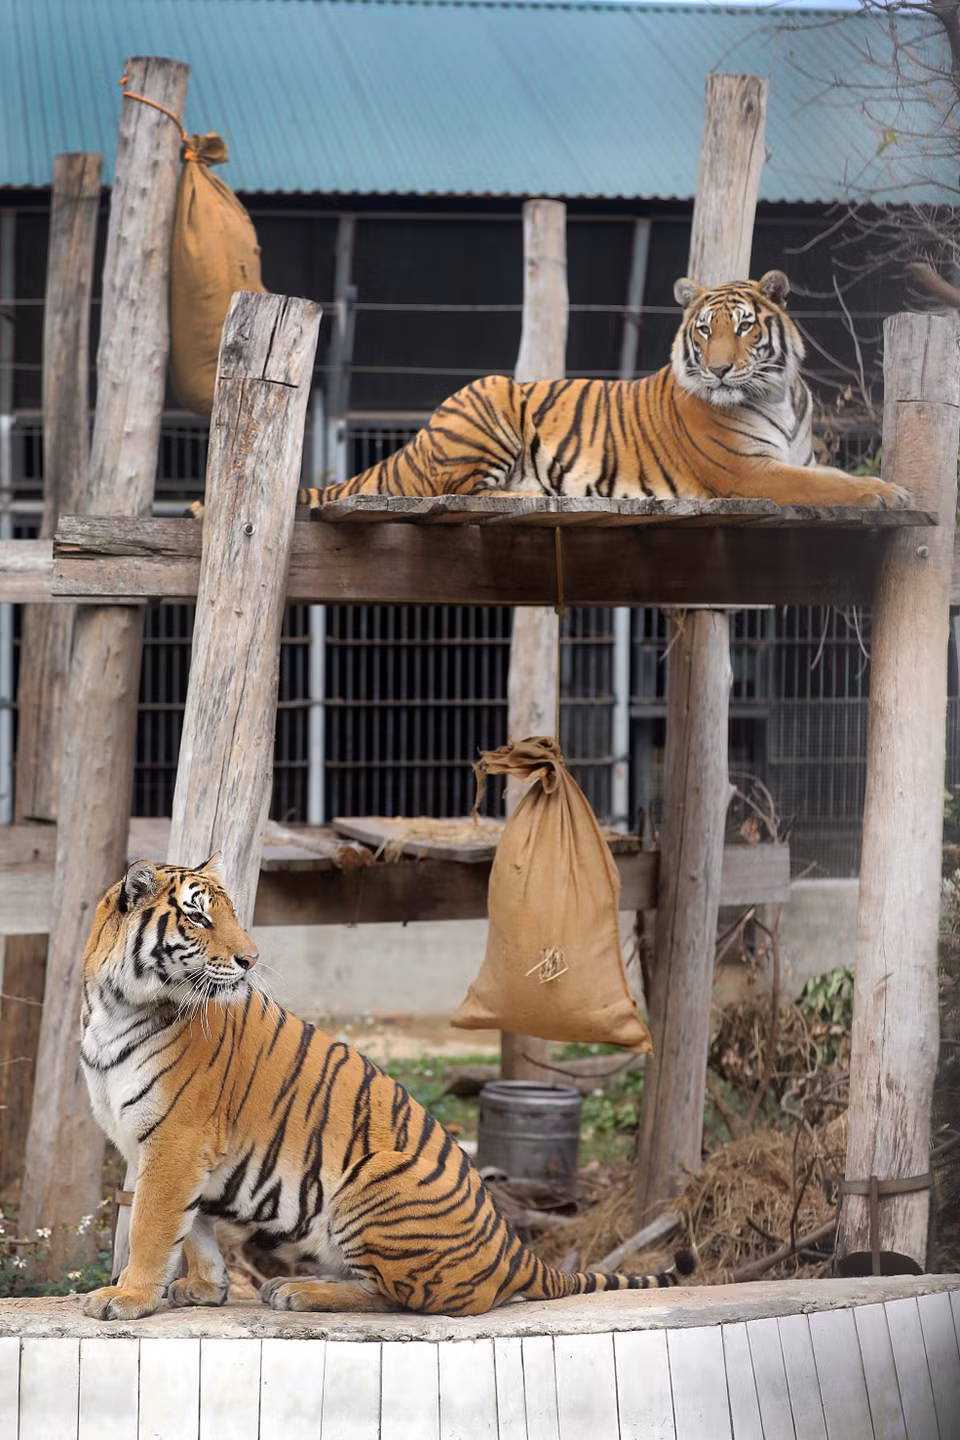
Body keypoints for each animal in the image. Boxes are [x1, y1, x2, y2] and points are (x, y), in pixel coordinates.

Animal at [79, 856, 695, 1321]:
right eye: (199, 919)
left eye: (229, 915)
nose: (250, 959)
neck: (115, 1006)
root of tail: (514, 1249)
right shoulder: (177, 1150)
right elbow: (195, 1229)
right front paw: (204, 1290)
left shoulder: (177, 1141)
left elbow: (154, 1226)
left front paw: (127, 1296)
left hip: (372, 1181)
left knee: (402, 1298)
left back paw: (299, 1291)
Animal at [299, 270, 906, 511]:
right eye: (704, 330)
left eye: (744, 327)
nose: (717, 371)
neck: (774, 394)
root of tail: (414, 441)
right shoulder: (750, 472)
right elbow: (825, 486)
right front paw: (888, 494)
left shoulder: (793, 458)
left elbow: (831, 475)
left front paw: (887, 487)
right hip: (489, 397)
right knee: (455, 493)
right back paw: (536, 495)